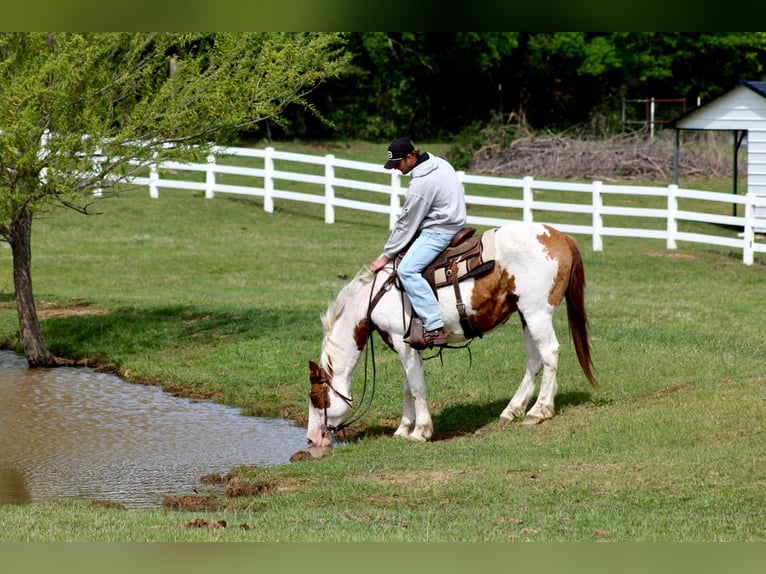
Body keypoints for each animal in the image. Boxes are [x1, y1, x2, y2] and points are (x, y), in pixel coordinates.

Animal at [306, 220, 596, 448]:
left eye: (315, 397)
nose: (311, 439)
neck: (376, 297)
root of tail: (561, 236)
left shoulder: (403, 343)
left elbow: (417, 388)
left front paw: (420, 431)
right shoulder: (407, 348)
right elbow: (408, 387)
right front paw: (402, 429)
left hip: (536, 313)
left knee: (549, 353)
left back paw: (539, 410)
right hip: (526, 315)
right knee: (534, 361)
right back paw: (512, 410)